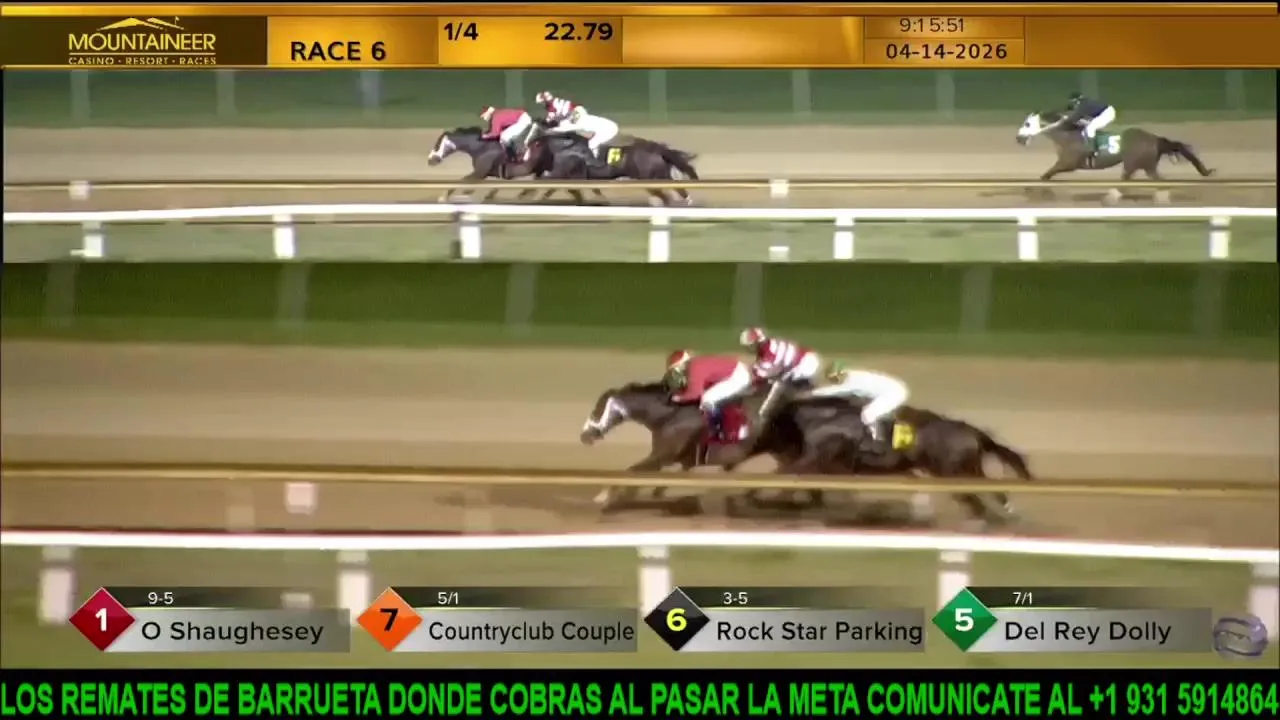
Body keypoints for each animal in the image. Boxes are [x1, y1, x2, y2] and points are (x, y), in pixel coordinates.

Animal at [425, 127, 605, 206]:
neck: (481, 146)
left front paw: (442, 197)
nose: (430, 160)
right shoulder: (488, 174)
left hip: (557, 171)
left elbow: (461, 182)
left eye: (437, 145)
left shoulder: (479, 173)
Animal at [1014, 110, 1214, 203]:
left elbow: (1046, 175)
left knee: (1125, 182)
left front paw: (1033, 189)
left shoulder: (1068, 163)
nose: (1018, 138)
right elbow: (1046, 176)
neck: (1068, 135)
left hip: (1132, 164)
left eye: (1027, 123)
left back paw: (1110, 198)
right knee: (1159, 182)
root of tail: (1155, 138)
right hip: (1147, 166)